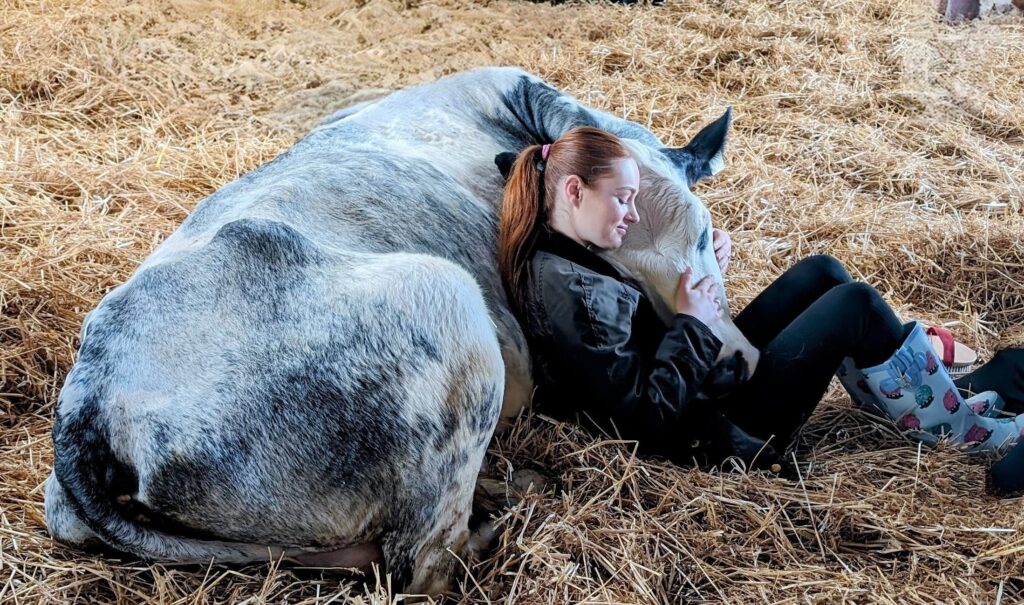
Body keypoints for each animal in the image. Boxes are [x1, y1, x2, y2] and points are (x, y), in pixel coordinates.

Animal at [44, 67, 758, 595]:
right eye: (610, 266)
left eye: (699, 233)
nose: (734, 361)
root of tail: (91, 399)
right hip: (446, 301)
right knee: (425, 562)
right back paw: (504, 513)